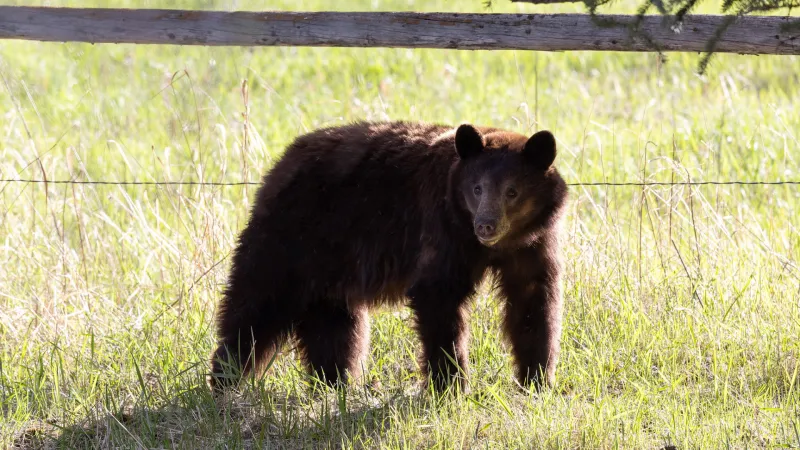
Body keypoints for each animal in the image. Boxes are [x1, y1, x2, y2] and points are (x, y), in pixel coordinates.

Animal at [209, 121, 568, 393]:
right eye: (477, 188)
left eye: (512, 191)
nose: (486, 225)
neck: (494, 246)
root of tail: (279, 164)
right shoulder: (442, 228)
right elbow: (437, 295)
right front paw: (451, 385)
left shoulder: (534, 245)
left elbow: (534, 303)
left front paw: (537, 380)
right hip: (290, 238)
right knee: (256, 305)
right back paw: (225, 378)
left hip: (331, 264)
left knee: (337, 327)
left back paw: (335, 383)